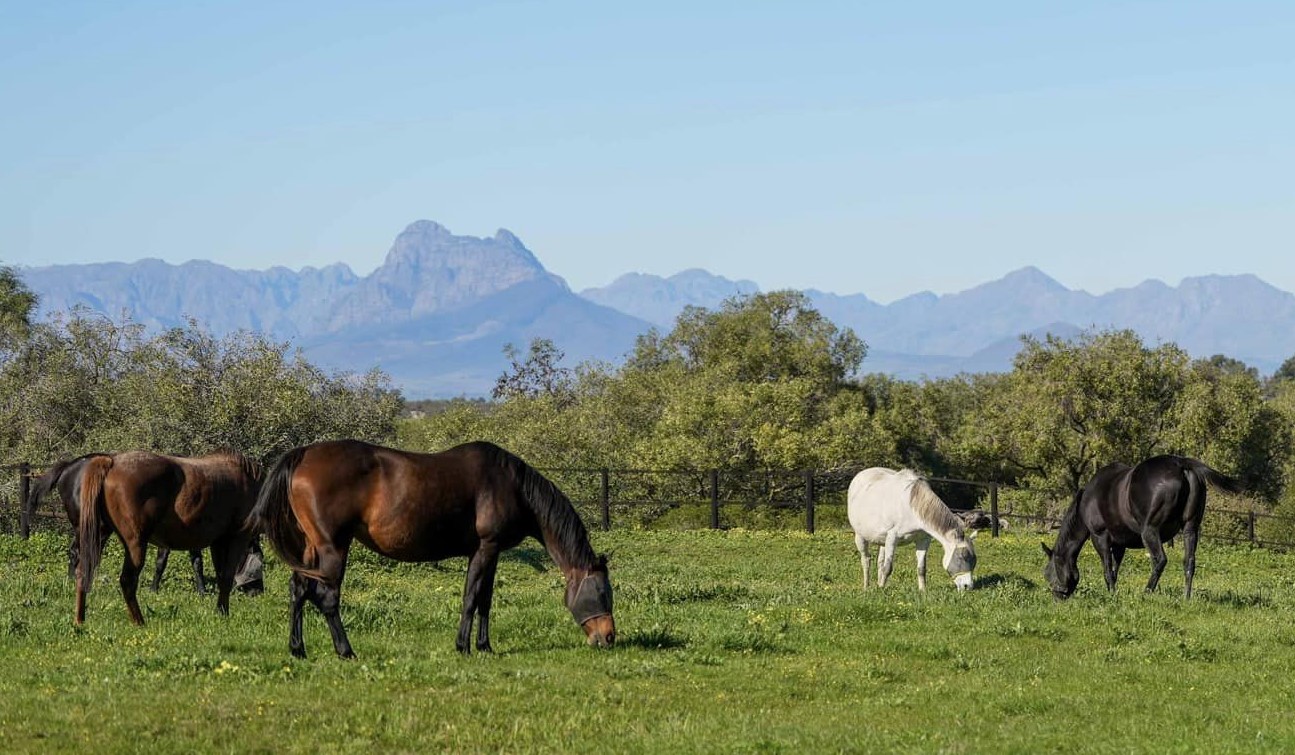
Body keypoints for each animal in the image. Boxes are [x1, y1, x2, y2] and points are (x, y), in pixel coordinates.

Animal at [74, 448, 261, 626]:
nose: (259, 591)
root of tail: (112, 462)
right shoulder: (236, 538)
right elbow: (227, 577)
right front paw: (223, 613)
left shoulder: (218, 542)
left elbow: (221, 576)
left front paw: (220, 611)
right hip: (135, 543)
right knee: (127, 581)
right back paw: (139, 622)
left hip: (98, 536)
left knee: (83, 571)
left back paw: (80, 620)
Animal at [249, 440, 619, 657]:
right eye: (603, 592)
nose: (608, 637)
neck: (511, 485)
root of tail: (303, 456)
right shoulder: (486, 548)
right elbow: (471, 598)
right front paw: (464, 647)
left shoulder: (491, 552)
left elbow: (485, 600)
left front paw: (485, 646)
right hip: (333, 548)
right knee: (326, 597)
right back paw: (346, 651)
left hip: (311, 548)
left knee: (298, 589)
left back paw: (298, 649)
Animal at [844, 466, 973, 590]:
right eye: (962, 556)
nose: (968, 586)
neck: (912, 508)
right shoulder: (892, 538)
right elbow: (888, 568)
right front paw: (881, 589)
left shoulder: (923, 540)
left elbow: (921, 568)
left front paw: (923, 590)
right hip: (860, 536)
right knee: (866, 560)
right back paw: (866, 587)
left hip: (882, 540)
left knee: (879, 562)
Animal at [1036, 455, 1238, 603]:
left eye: (1048, 573)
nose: (1058, 597)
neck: (1088, 498)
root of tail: (1181, 463)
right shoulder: (1119, 544)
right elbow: (1115, 570)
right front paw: (1113, 593)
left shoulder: (1099, 536)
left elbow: (1107, 570)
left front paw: (1111, 595)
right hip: (1190, 529)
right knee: (1189, 562)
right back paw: (1186, 598)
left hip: (1149, 531)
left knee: (1160, 560)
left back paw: (1146, 592)